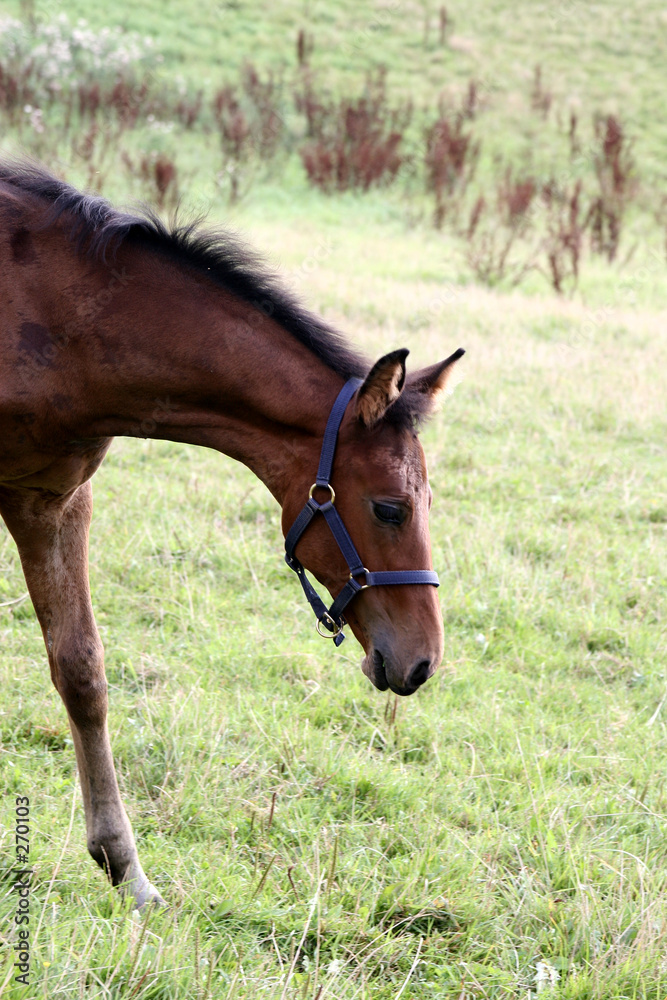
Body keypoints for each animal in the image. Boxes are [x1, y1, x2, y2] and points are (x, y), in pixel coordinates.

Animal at [0, 161, 464, 908]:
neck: (58, 320)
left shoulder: (50, 499)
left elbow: (81, 670)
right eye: (390, 509)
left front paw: (126, 868)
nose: (422, 661)